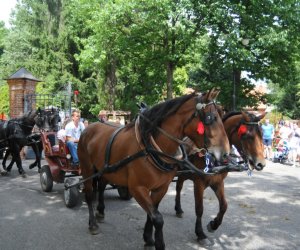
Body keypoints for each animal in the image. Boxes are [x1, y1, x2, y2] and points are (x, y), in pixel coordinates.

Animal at [77, 89, 230, 249]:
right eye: (210, 118)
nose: (226, 153)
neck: (150, 147)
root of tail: (90, 127)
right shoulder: (137, 188)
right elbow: (157, 218)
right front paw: (157, 242)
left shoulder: (160, 188)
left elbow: (152, 213)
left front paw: (148, 239)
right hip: (87, 168)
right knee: (89, 194)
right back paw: (93, 224)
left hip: (106, 170)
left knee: (101, 186)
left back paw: (100, 212)